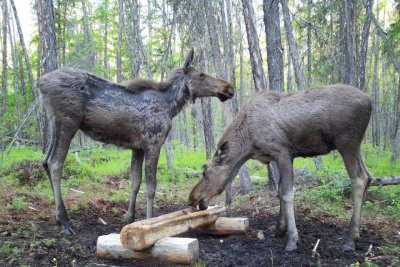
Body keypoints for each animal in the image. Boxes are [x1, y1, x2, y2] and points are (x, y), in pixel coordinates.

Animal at [39, 49, 233, 236]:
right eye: (201, 74)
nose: (229, 88)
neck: (171, 106)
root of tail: (42, 83)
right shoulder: (153, 143)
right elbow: (151, 186)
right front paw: (149, 221)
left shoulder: (137, 148)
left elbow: (135, 182)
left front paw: (129, 218)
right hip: (68, 124)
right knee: (55, 164)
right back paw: (64, 222)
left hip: (55, 125)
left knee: (45, 161)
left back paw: (59, 218)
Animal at [190, 85, 372, 252]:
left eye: (205, 172)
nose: (192, 198)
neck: (247, 145)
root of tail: (370, 102)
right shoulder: (276, 158)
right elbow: (279, 190)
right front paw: (280, 229)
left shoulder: (283, 152)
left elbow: (287, 192)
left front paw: (292, 239)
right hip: (356, 146)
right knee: (369, 176)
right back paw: (357, 234)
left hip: (346, 142)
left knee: (359, 179)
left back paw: (349, 240)